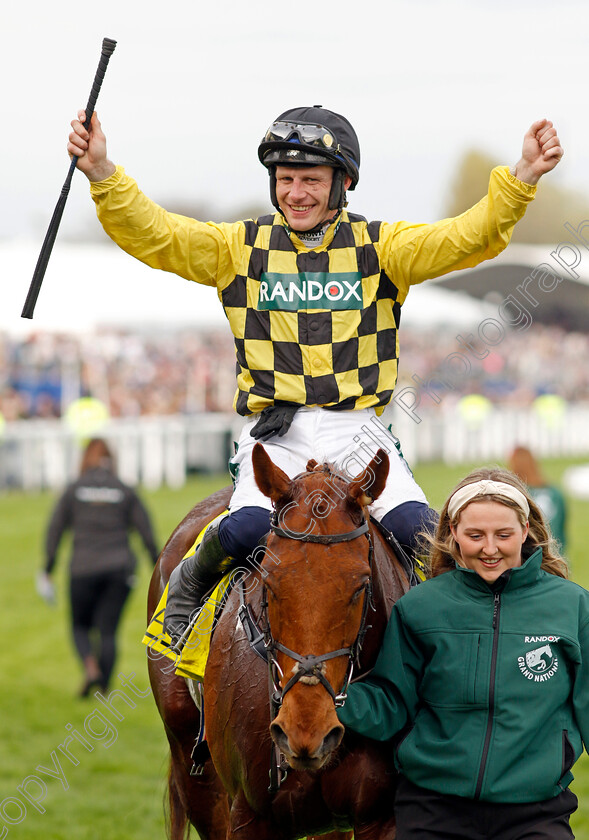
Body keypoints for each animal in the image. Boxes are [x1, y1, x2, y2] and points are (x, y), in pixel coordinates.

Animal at [146, 442, 408, 836]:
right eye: (268, 581)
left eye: (361, 584)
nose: (305, 730)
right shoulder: (250, 813)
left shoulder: (380, 817)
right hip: (192, 764)